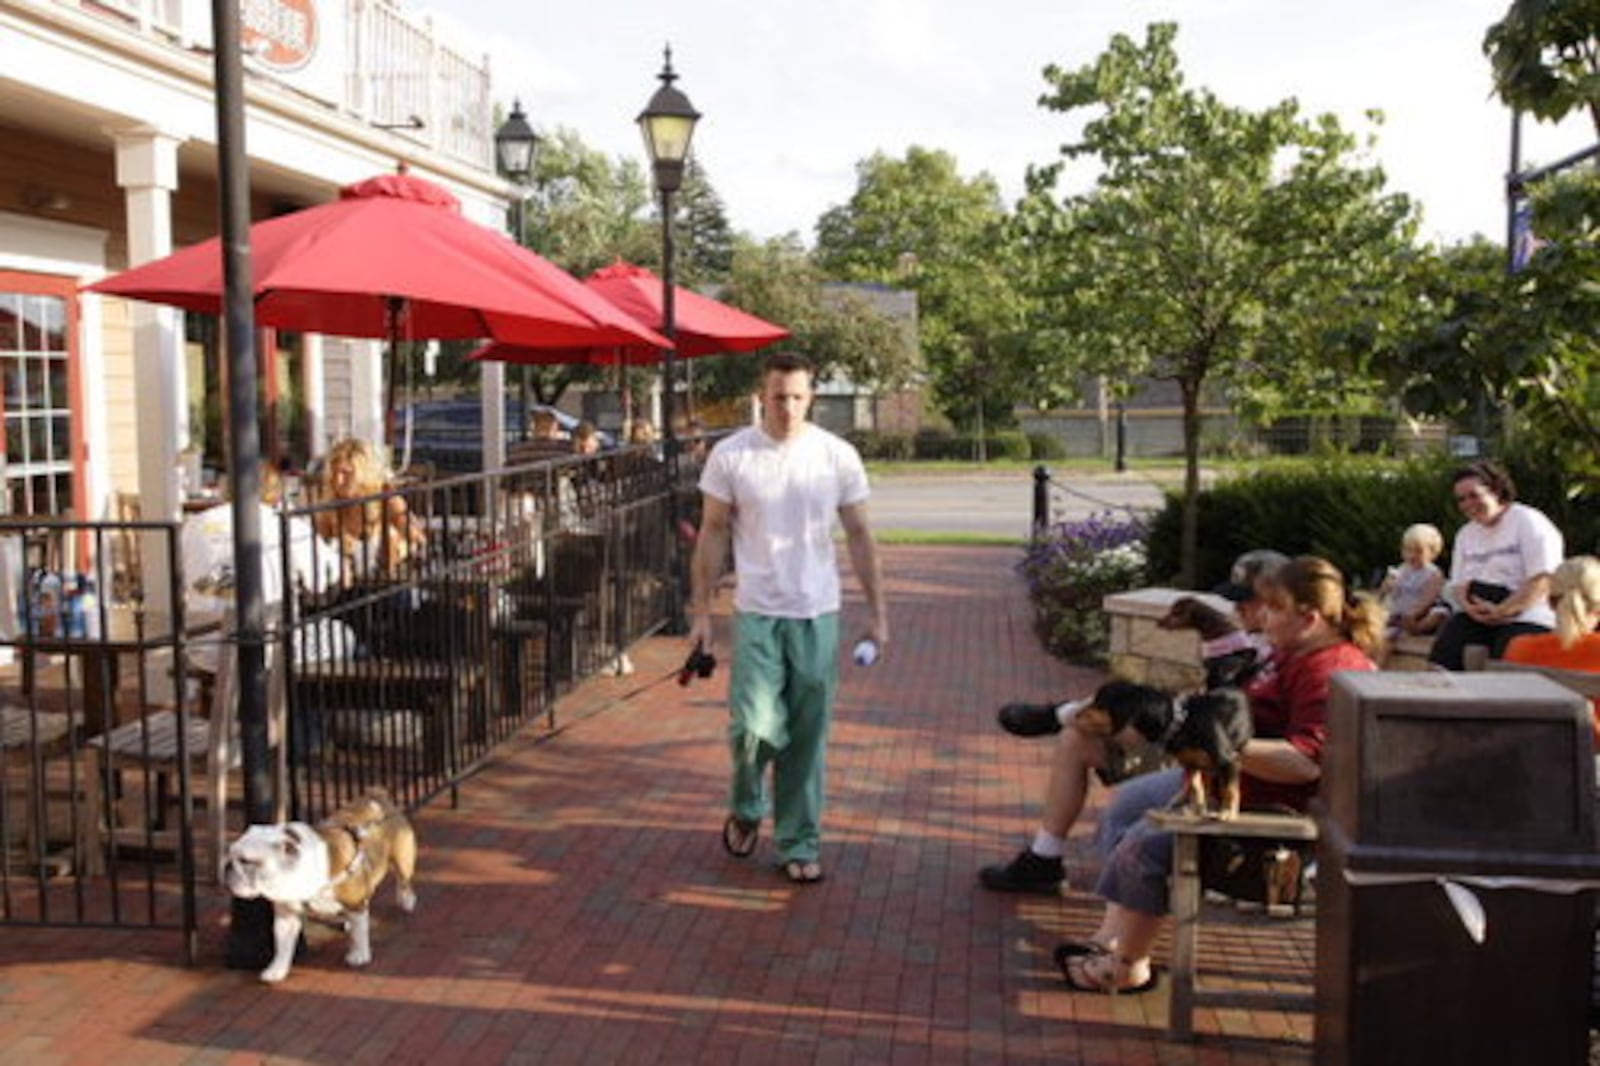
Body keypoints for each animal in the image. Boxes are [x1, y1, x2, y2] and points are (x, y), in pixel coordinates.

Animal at [1164, 685, 1248, 816]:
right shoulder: (1191, 764)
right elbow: (1196, 785)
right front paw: (1197, 807)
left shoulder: (1230, 762)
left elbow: (1230, 790)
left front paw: (1229, 813)